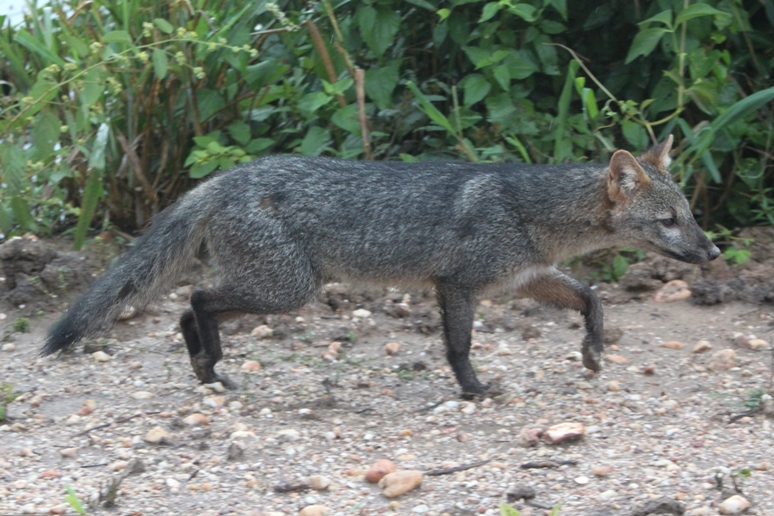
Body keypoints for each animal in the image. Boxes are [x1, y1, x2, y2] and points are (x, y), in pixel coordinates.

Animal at [43, 135, 720, 395]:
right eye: (669, 222)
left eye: (690, 215)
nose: (712, 252)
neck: (531, 211)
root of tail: (226, 177)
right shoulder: (459, 285)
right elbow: (459, 346)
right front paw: (474, 391)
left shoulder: (527, 280)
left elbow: (593, 297)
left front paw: (593, 352)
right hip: (288, 290)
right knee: (197, 299)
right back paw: (210, 363)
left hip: (279, 288)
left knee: (189, 308)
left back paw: (205, 369)